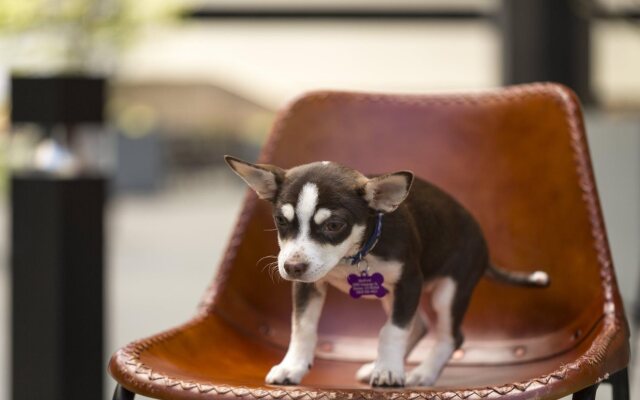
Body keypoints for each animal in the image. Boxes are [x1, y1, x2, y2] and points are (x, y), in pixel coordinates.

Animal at [224, 156, 544, 388]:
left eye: (334, 225)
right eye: (281, 221)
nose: (292, 267)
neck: (351, 257)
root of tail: (485, 249)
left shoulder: (409, 282)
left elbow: (392, 331)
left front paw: (389, 371)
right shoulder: (308, 285)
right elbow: (302, 327)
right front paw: (293, 367)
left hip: (447, 291)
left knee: (451, 336)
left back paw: (422, 372)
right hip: (393, 296)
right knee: (420, 326)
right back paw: (380, 366)